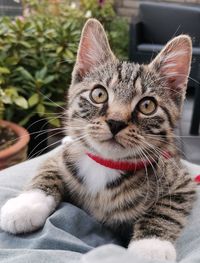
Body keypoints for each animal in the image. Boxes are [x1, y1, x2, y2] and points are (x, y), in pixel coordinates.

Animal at [0, 19, 196, 262]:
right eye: (99, 94)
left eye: (147, 105)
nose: (115, 122)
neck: (105, 165)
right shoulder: (61, 158)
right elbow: (47, 169)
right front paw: (26, 205)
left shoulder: (182, 181)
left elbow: (166, 209)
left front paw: (151, 246)